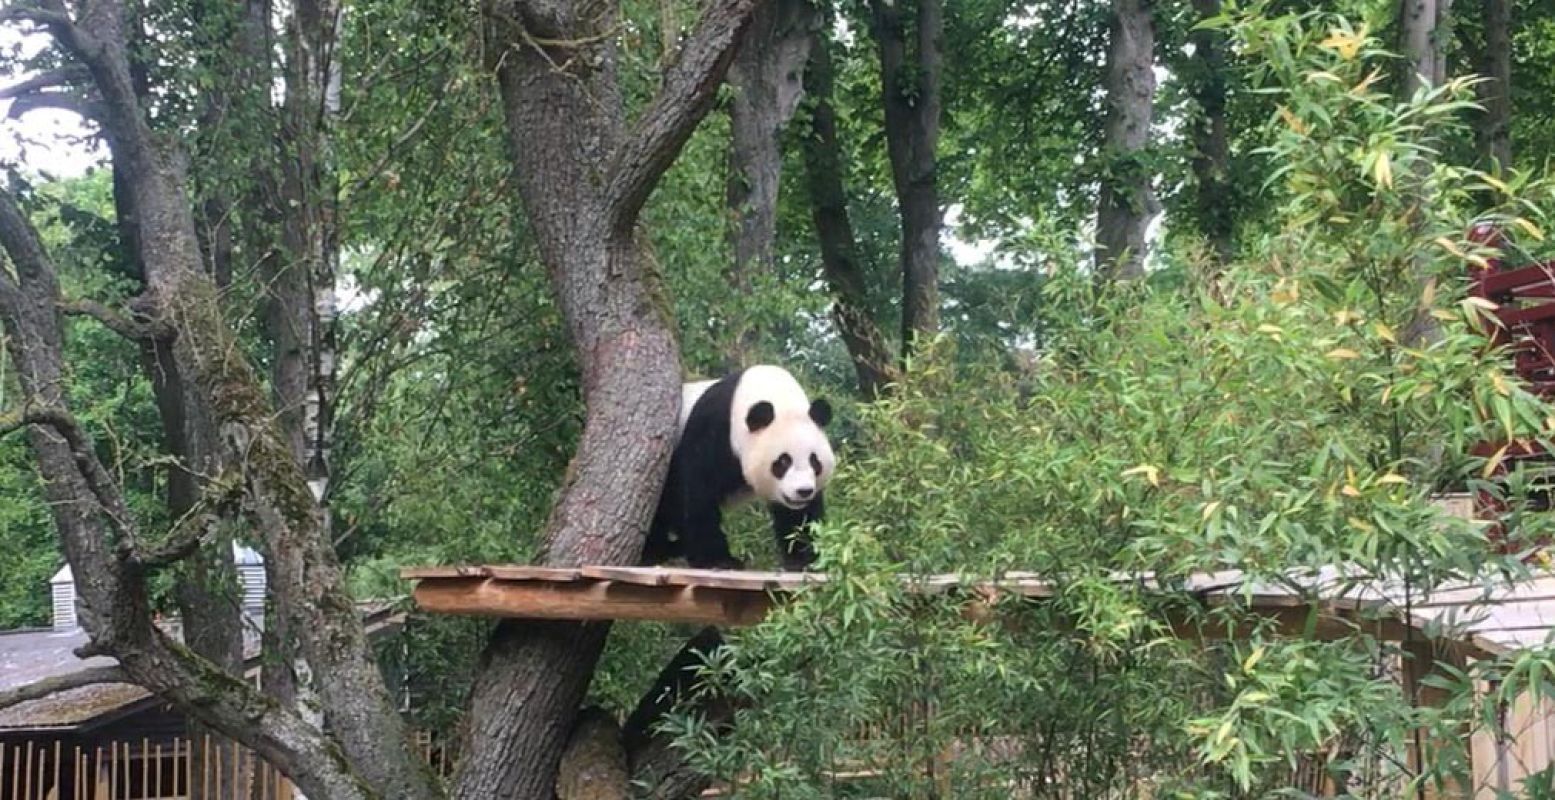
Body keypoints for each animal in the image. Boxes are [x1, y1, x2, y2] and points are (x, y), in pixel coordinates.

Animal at [643, 364, 839, 569]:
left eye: (814, 461)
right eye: (784, 461)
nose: (803, 491)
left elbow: (797, 517)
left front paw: (803, 559)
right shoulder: (713, 430)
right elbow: (697, 491)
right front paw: (718, 560)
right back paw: (659, 550)